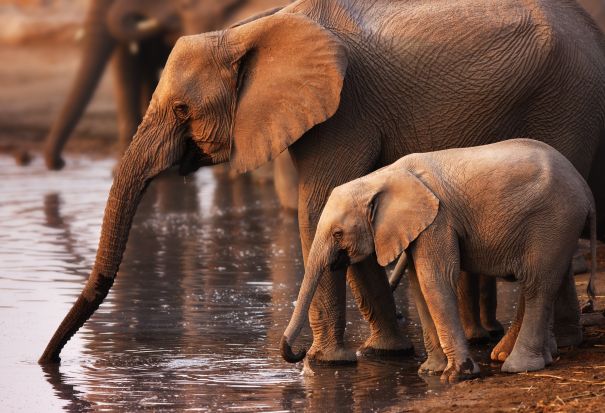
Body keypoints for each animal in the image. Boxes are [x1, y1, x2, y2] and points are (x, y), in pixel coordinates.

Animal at [282, 139, 596, 384]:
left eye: (338, 233)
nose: (300, 355)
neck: (380, 178)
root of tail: (585, 188)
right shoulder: (417, 227)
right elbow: (419, 284)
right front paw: (431, 371)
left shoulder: (438, 220)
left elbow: (434, 279)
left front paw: (457, 375)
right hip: (558, 226)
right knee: (548, 280)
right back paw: (535, 357)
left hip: (554, 220)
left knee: (536, 285)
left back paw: (517, 367)